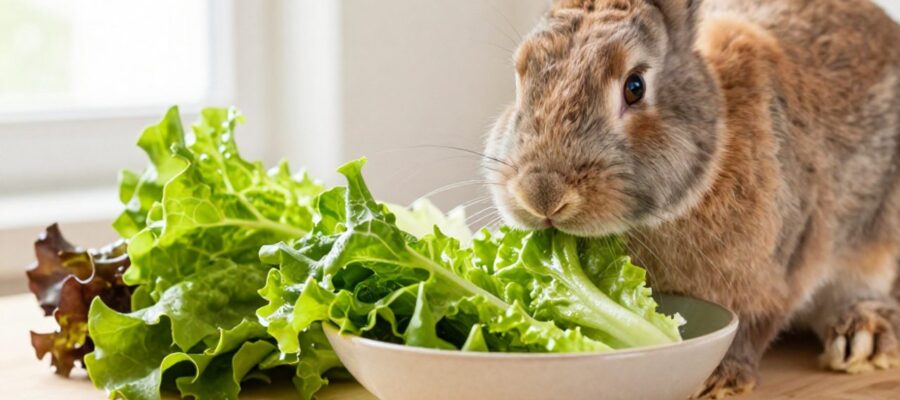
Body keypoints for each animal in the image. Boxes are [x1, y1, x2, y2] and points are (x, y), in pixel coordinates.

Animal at [483, 0, 900, 398]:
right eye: (521, 77)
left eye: (635, 86)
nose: (541, 195)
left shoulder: (780, 268)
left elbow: (751, 325)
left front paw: (717, 378)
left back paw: (863, 337)